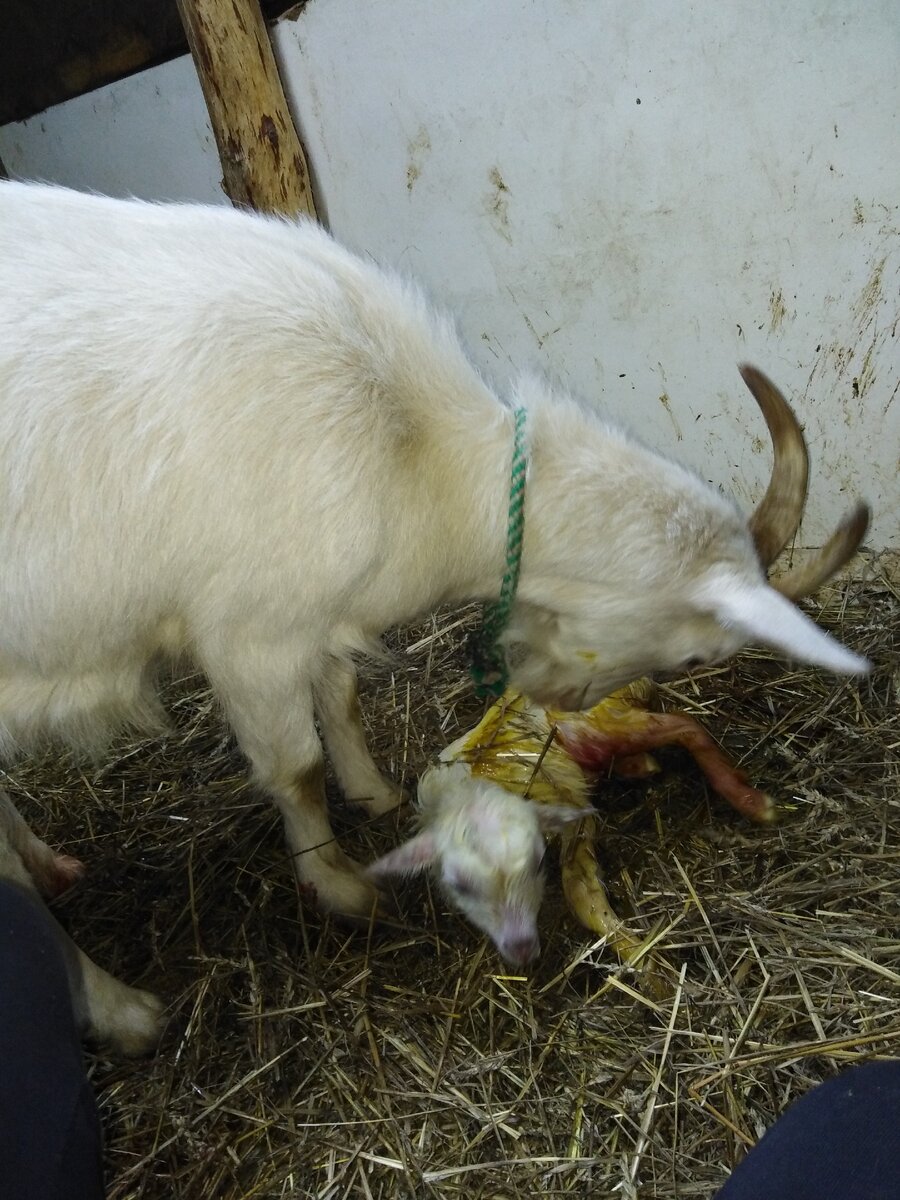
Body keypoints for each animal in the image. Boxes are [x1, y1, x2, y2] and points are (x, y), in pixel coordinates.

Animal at [0, 180, 868, 1051]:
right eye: (693, 660)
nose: (560, 705)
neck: (416, 453)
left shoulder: (320, 611)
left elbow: (342, 695)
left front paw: (372, 792)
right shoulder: (251, 631)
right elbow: (295, 767)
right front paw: (340, 886)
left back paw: (52, 865)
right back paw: (123, 1010)